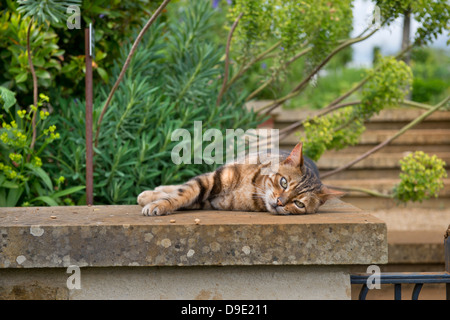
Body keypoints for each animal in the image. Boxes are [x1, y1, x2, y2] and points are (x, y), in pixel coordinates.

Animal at [137, 142, 342, 215]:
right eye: (283, 182)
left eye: (299, 204)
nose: (280, 202)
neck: (252, 188)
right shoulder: (214, 179)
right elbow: (184, 192)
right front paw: (158, 204)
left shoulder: (209, 201)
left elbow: (188, 196)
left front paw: (157, 202)